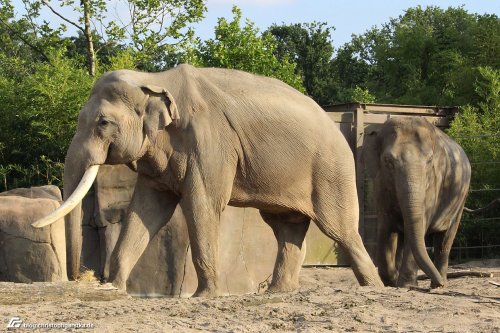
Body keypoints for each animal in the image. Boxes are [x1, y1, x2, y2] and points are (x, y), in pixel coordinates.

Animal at [32, 65, 382, 296]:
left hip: (331, 171)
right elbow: (146, 210)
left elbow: (202, 204)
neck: (154, 80)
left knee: (342, 231)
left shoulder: (209, 142)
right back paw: (277, 293)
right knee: (286, 227)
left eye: (103, 123)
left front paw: (205, 296)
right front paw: (114, 289)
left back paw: (374, 288)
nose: (85, 278)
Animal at [362, 117, 470, 288]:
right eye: (388, 161)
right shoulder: (380, 185)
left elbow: (421, 224)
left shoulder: (433, 185)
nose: (441, 284)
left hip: (460, 198)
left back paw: (437, 283)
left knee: (445, 239)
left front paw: (407, 285)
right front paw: (392, 280)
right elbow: (385, 227)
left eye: (430, 160)